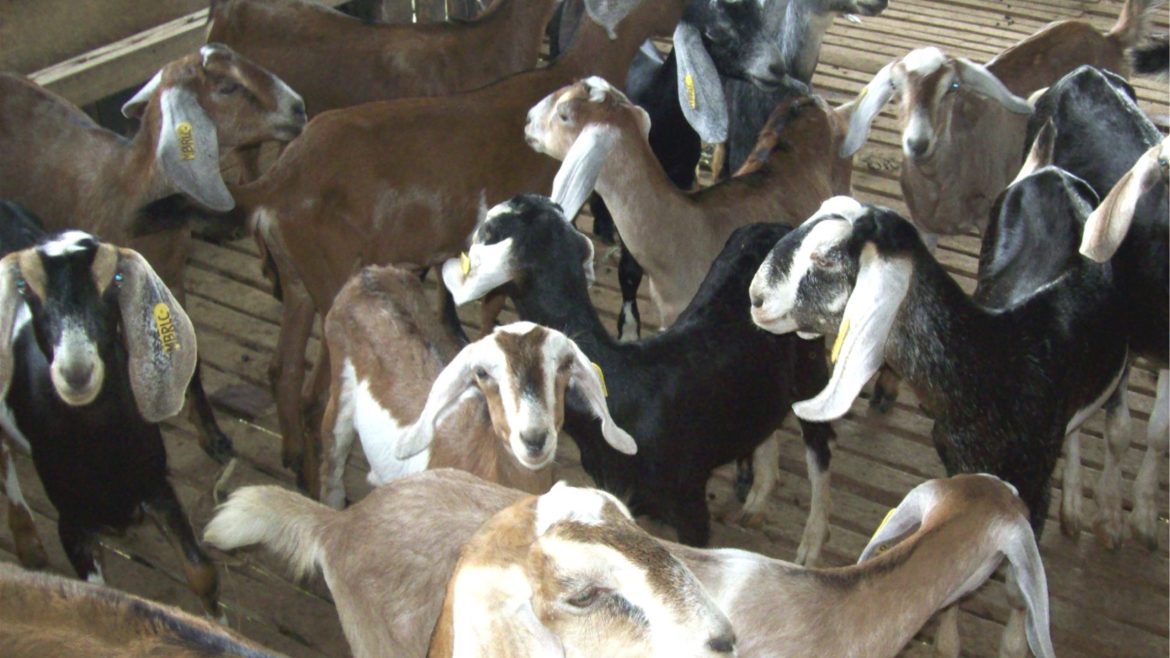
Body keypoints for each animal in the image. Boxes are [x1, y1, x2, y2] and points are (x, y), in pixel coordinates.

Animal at [0, 44, 306, 463]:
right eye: (227, 87)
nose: (300, 109)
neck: (129, 185)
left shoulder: (170, 278)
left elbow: (188, 354)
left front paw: (212, 436)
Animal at [0, 205, 219, 617]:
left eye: (116, 280)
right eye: (24, 287)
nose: (77, 372)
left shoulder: (158, 487)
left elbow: (201, 571)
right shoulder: (71, 523)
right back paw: (29, 544)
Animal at [319, 263, 635, 507]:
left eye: (566, 365)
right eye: (481, 372)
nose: (534, 439)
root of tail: (368, 275)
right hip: (340, 398)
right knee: (332, 469)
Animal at [439, 194, 836, 561]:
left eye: (488, 231)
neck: (621, 382)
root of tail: (781, 227)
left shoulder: (689, 500)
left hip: (811, 362)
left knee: (820, 447)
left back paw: (811, 544)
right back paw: (756, 501)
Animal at [749, 190, 1129, 542]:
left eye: (826, 259)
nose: (756, 297)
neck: (996, 359)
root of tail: (1056, 174)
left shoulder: (1034, 494)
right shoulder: (961, 466)